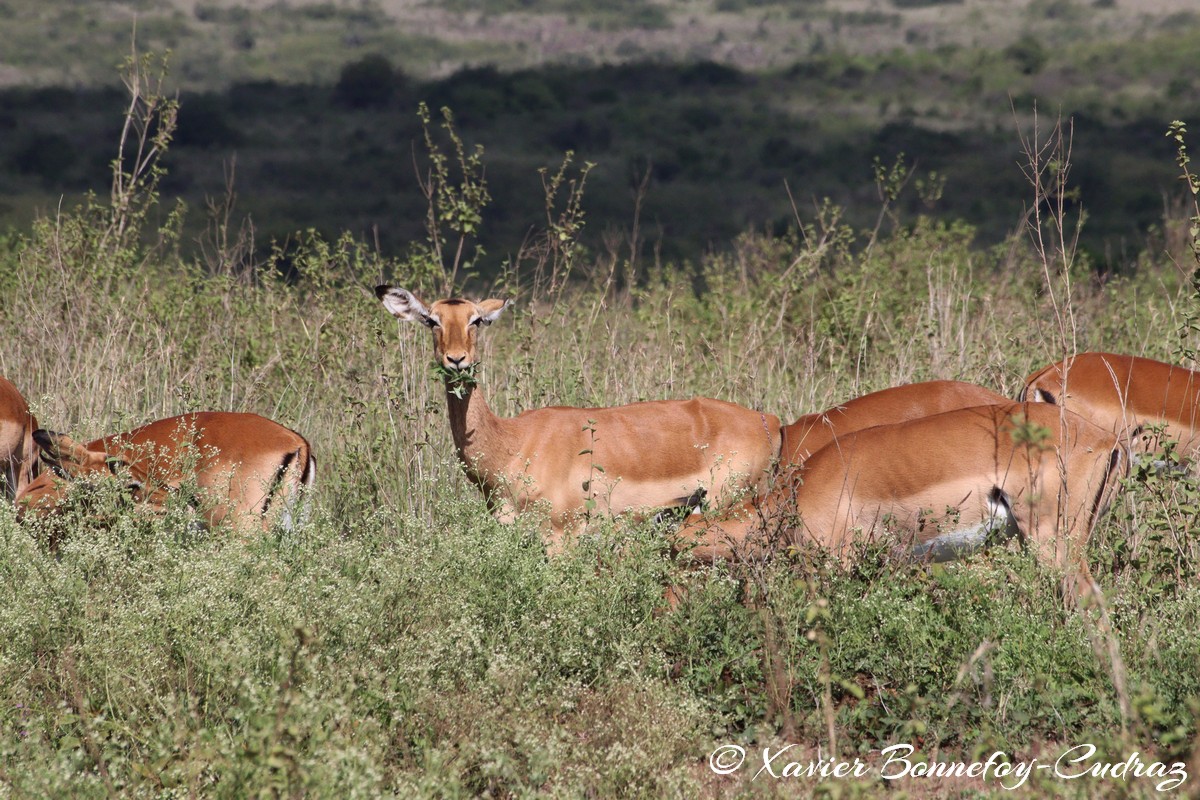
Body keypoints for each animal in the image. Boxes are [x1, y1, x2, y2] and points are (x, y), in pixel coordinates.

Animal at [375, 285, 782, 549]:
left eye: (476, 319)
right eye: (432, 320)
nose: (457, 359)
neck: (513, 445)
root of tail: (771, 421)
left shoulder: (561, 537)